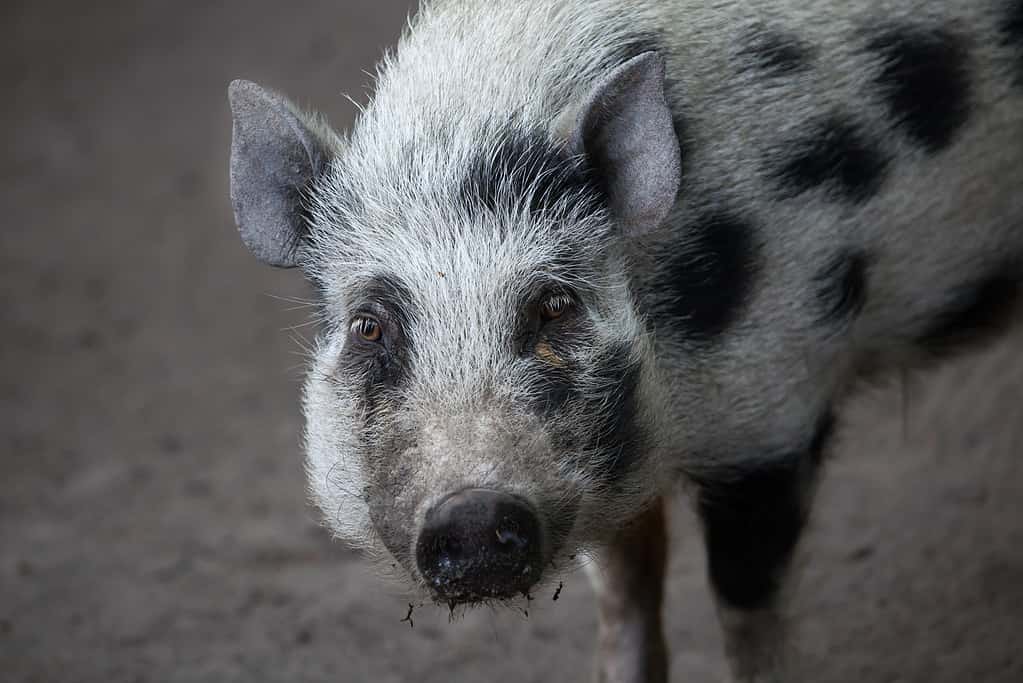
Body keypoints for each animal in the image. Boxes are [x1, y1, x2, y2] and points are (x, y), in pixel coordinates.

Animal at [226, 1, 1023, 683]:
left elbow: (746, 610)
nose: (473, 513)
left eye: (555, 304)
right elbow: (626, 595)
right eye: (369, 326)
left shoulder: (774, 406)